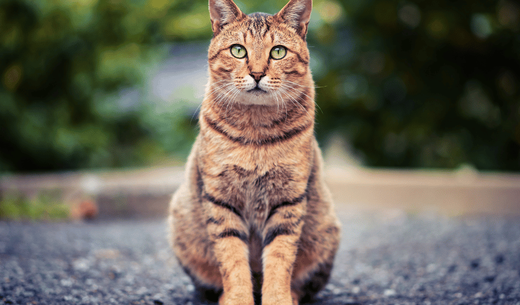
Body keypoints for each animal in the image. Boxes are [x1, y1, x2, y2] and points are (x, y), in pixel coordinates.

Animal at [169, 0, 344, 302]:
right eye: (238, 50)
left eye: (278, 52)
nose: (258, 74)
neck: (255, 132)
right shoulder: (221, 199)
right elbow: (232, 260)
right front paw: (237, 299)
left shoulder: (288, 200)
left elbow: (279, 259)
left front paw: (278, 299)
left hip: (326, 232)